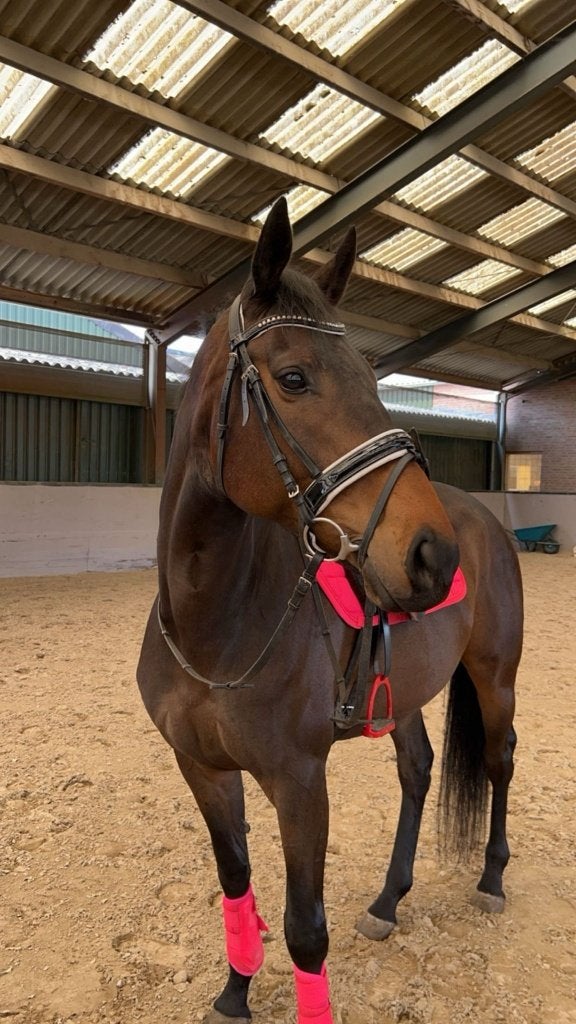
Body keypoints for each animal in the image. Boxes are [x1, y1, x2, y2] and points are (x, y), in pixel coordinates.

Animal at [137, 197, 523, 1024]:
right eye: (293, 377)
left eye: (374, 380)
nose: (433, 557)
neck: (216, 627)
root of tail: (479, 519)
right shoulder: (204, 770)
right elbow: (237, 888)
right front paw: (234, 992)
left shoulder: (298, 781)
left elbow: (303, 928)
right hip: (403, 689)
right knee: (417, 770)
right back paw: (387, 900)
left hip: (495, 677)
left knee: (500, 762)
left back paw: (491, 880)